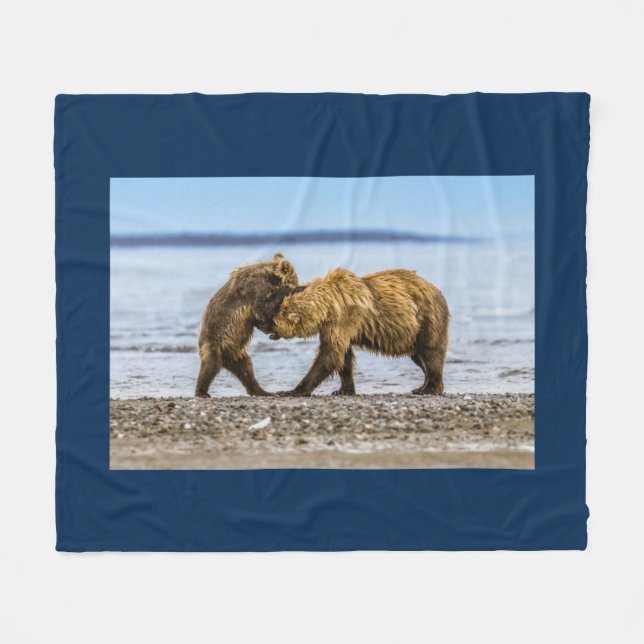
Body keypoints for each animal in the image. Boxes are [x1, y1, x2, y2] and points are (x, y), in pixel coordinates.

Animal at [195, 253, 299, 398]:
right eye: (296, 281)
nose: (298, 284)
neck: (270, 278)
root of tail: (225, 360)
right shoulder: (256, 288)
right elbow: (262, 307)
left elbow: (261, 318)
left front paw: (274, 333)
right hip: (214, 342)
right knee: (210, 365)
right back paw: (201, 392)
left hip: (236, 352)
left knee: (246, 370)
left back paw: (262, 391)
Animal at [257, 267, 449, 396]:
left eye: (269, 316)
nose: (258, 324)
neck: (326, 307)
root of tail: (437, 290)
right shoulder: (334, 326)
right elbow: (344, 357)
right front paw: (343, 389)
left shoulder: (343, 318)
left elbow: (330, 355)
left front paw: (292, 390)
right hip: (414, 333)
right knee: (419, 356)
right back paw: (422, 386)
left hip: (427, 319)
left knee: (431, 352)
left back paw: (431, 388)